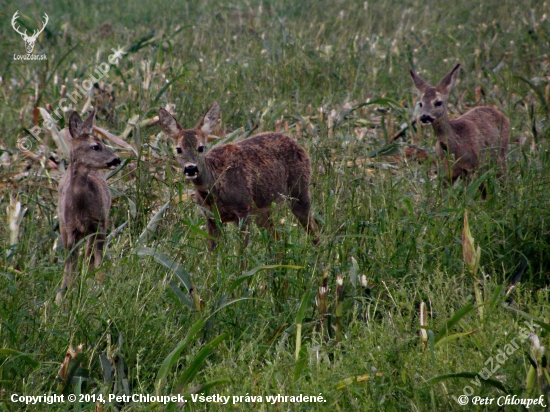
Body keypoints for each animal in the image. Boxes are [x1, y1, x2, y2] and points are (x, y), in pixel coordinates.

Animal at [56, 109, 121, 302]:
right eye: (95, 146)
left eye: (104, 142)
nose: (117, 159)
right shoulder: (70, 230)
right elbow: (71, 265)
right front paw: (65, 296)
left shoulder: (99, 224)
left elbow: (96, 260)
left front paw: (99, 290)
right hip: (64, 227)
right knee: (75, 260)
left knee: (88, 256)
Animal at [157, 104, 322, 249]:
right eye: (178, 149)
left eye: (201, 147)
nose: (191, 168)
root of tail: (298, 144)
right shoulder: (211, 218)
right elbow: (212, 254)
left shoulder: (243, 210)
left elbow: (241, 254)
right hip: (263, 208)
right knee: (277, 242)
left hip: (299, 189)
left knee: (313, 231)